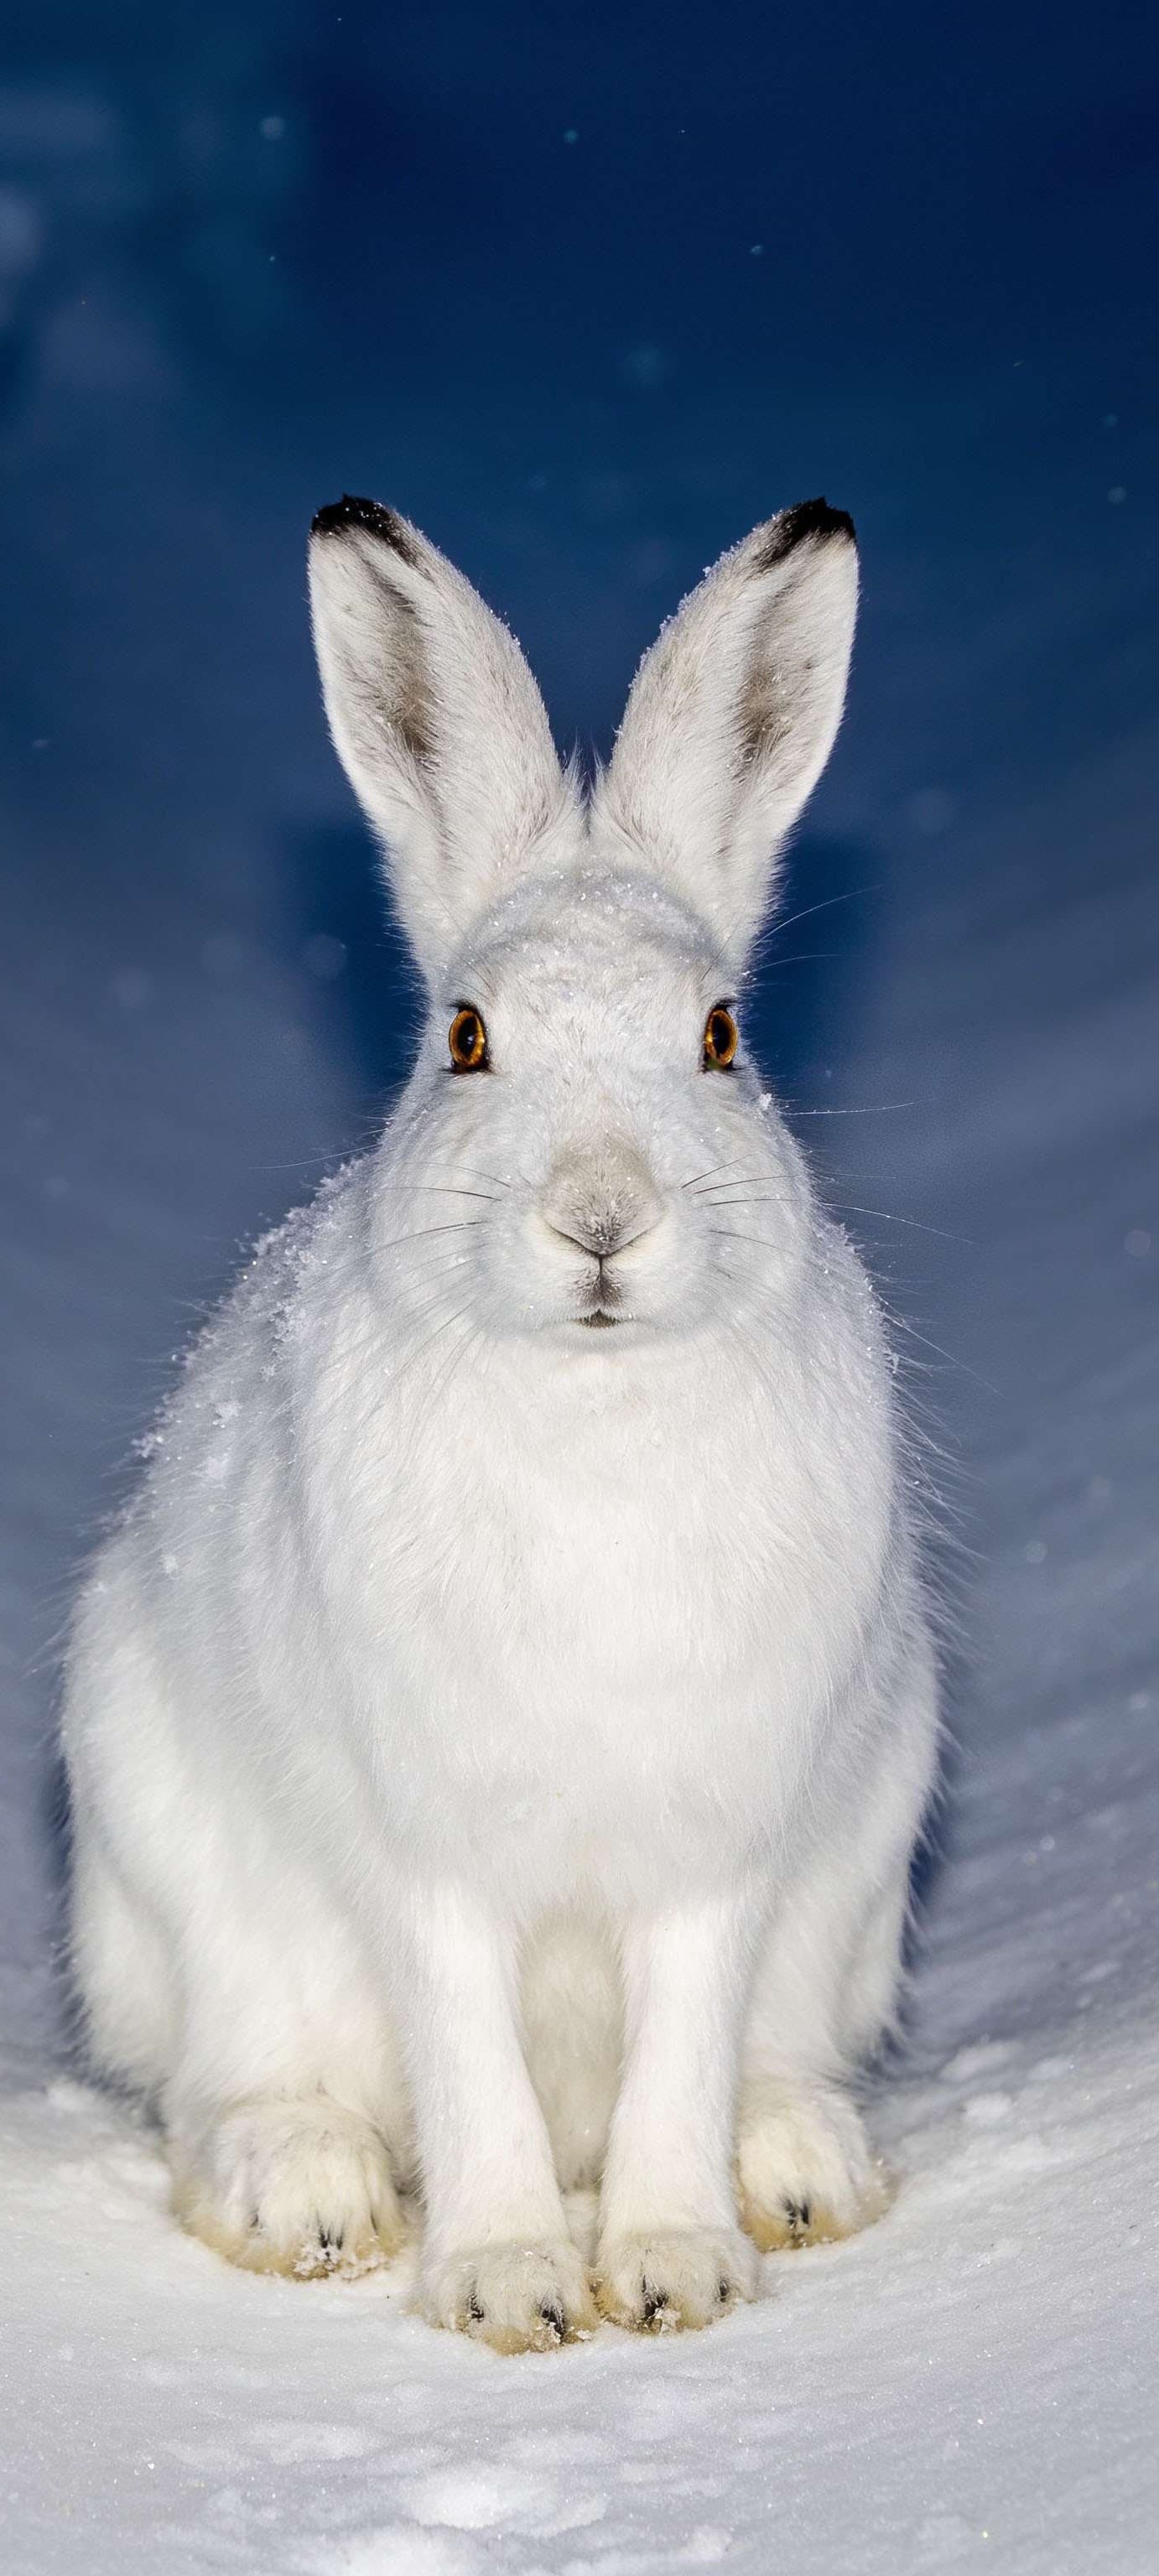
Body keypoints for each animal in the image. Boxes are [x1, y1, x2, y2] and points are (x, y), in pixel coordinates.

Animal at [62, 491, 939, 2352]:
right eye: (464, 1037)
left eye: (721, 1035)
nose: (600, 1220)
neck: (590, 1397)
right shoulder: (430, 1859)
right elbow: (467, 2056)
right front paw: (508, 2290)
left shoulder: (715, 1853)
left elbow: (681, 2044)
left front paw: (674, 2271)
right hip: (175, 1885)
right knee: (240, 2084)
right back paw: (309, 2194)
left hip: (853, 1887)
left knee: (761, 2056)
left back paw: (797, 2168)